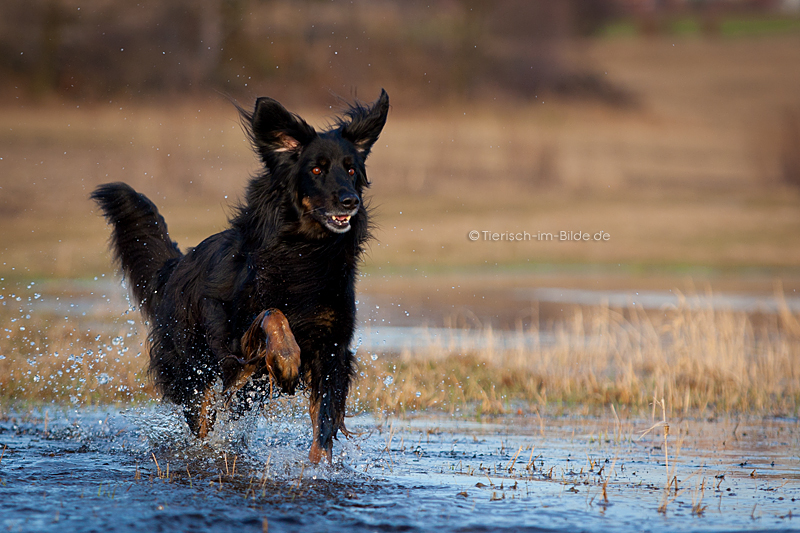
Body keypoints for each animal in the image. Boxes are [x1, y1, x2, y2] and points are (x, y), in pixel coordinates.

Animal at [92, 91, 390, 462]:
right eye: (317, 169)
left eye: (351, 169)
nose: (350, 200)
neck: (305, 251)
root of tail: (177, 264)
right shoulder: (233, 342)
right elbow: (273, 316)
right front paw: (287, 360)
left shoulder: (332, 348)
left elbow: (324, 425)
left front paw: (317, 468)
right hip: (193, 371)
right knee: (203, 421)